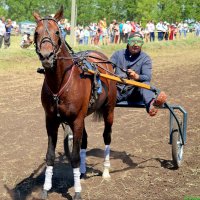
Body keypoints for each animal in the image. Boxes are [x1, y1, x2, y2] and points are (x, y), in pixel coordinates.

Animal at [33, 6, 117, 200]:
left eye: (57, 32)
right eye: (36, 33)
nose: (47, 56)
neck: (60, 84)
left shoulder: (76, 120)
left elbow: (74, 157)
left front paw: (77, 191)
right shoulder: (51, 121)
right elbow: (50, 155)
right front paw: (46, 188)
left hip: (109, 110)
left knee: (107, 136)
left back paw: (106, 171)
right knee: (84, 141)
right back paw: (83, 172)